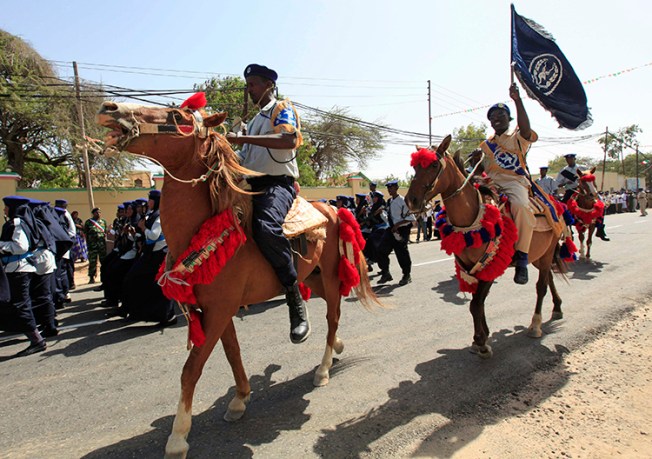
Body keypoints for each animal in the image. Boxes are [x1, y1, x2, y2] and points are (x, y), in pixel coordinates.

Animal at [97, 99, 382, 458]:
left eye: (178, 116)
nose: (110, 107)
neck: (205, 227)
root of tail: (332, 209)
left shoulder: (220, 309)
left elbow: (191, 369)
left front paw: (178, 436)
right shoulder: (215, 310)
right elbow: (232, 354)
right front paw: (240, 399)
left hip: (330, 278)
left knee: (332, 318)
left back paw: (323, 367)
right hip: (314, 277)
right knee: (328, 314)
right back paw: (338, 347)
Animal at [404, 136, 568, 360]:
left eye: (434, 165)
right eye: (415, 167)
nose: (411, 200)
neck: (472, 218)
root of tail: (552, 202)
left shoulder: (489, 265)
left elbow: (476, 304)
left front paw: (482, 342)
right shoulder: (469, 267)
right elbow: (477, 304)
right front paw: (481, 337)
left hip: (547, 252)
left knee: (541, 286)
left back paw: (535, 325)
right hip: (539, 255)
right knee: (549, 277)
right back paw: (557, 307)